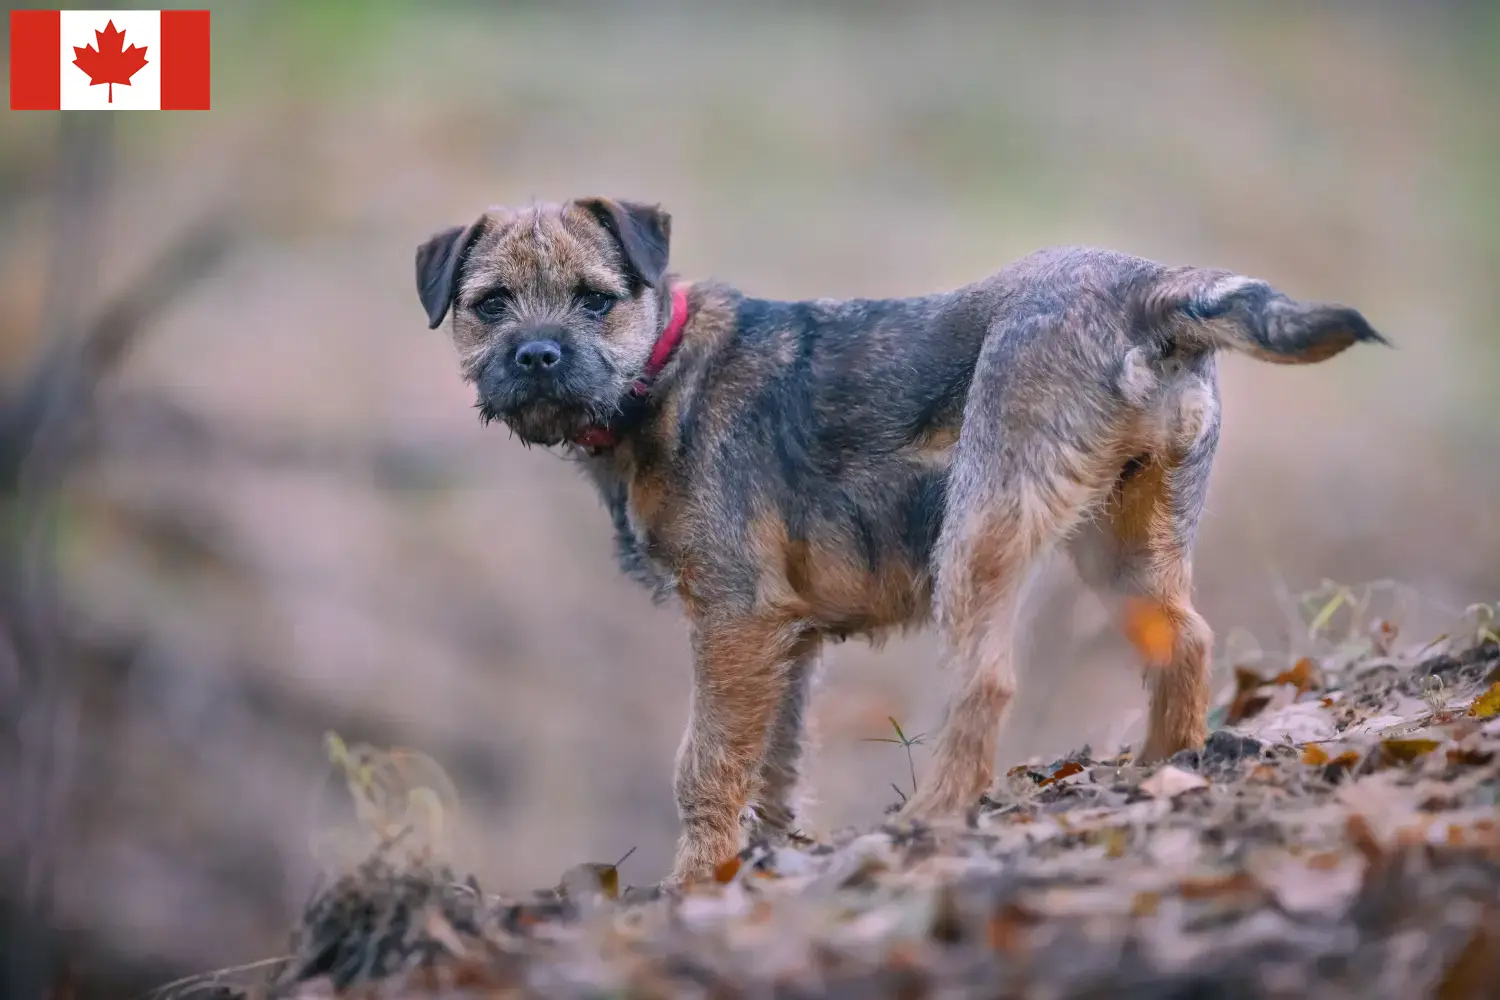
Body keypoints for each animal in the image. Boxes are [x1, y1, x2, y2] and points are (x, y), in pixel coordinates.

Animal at [414, 197, 1380, 881]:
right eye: (490, 305)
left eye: (596, 301)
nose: (537, 355)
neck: (663, 371)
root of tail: (1151, 290)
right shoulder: (784, 643)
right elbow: (774, 766)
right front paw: (750, 865)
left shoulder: (732, 619)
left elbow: (707, 763)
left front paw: (693, 884)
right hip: (1130, 539)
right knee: (1184, 639)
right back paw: (1162, 769)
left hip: (981, 531)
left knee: (987, 684)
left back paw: (931, 819)